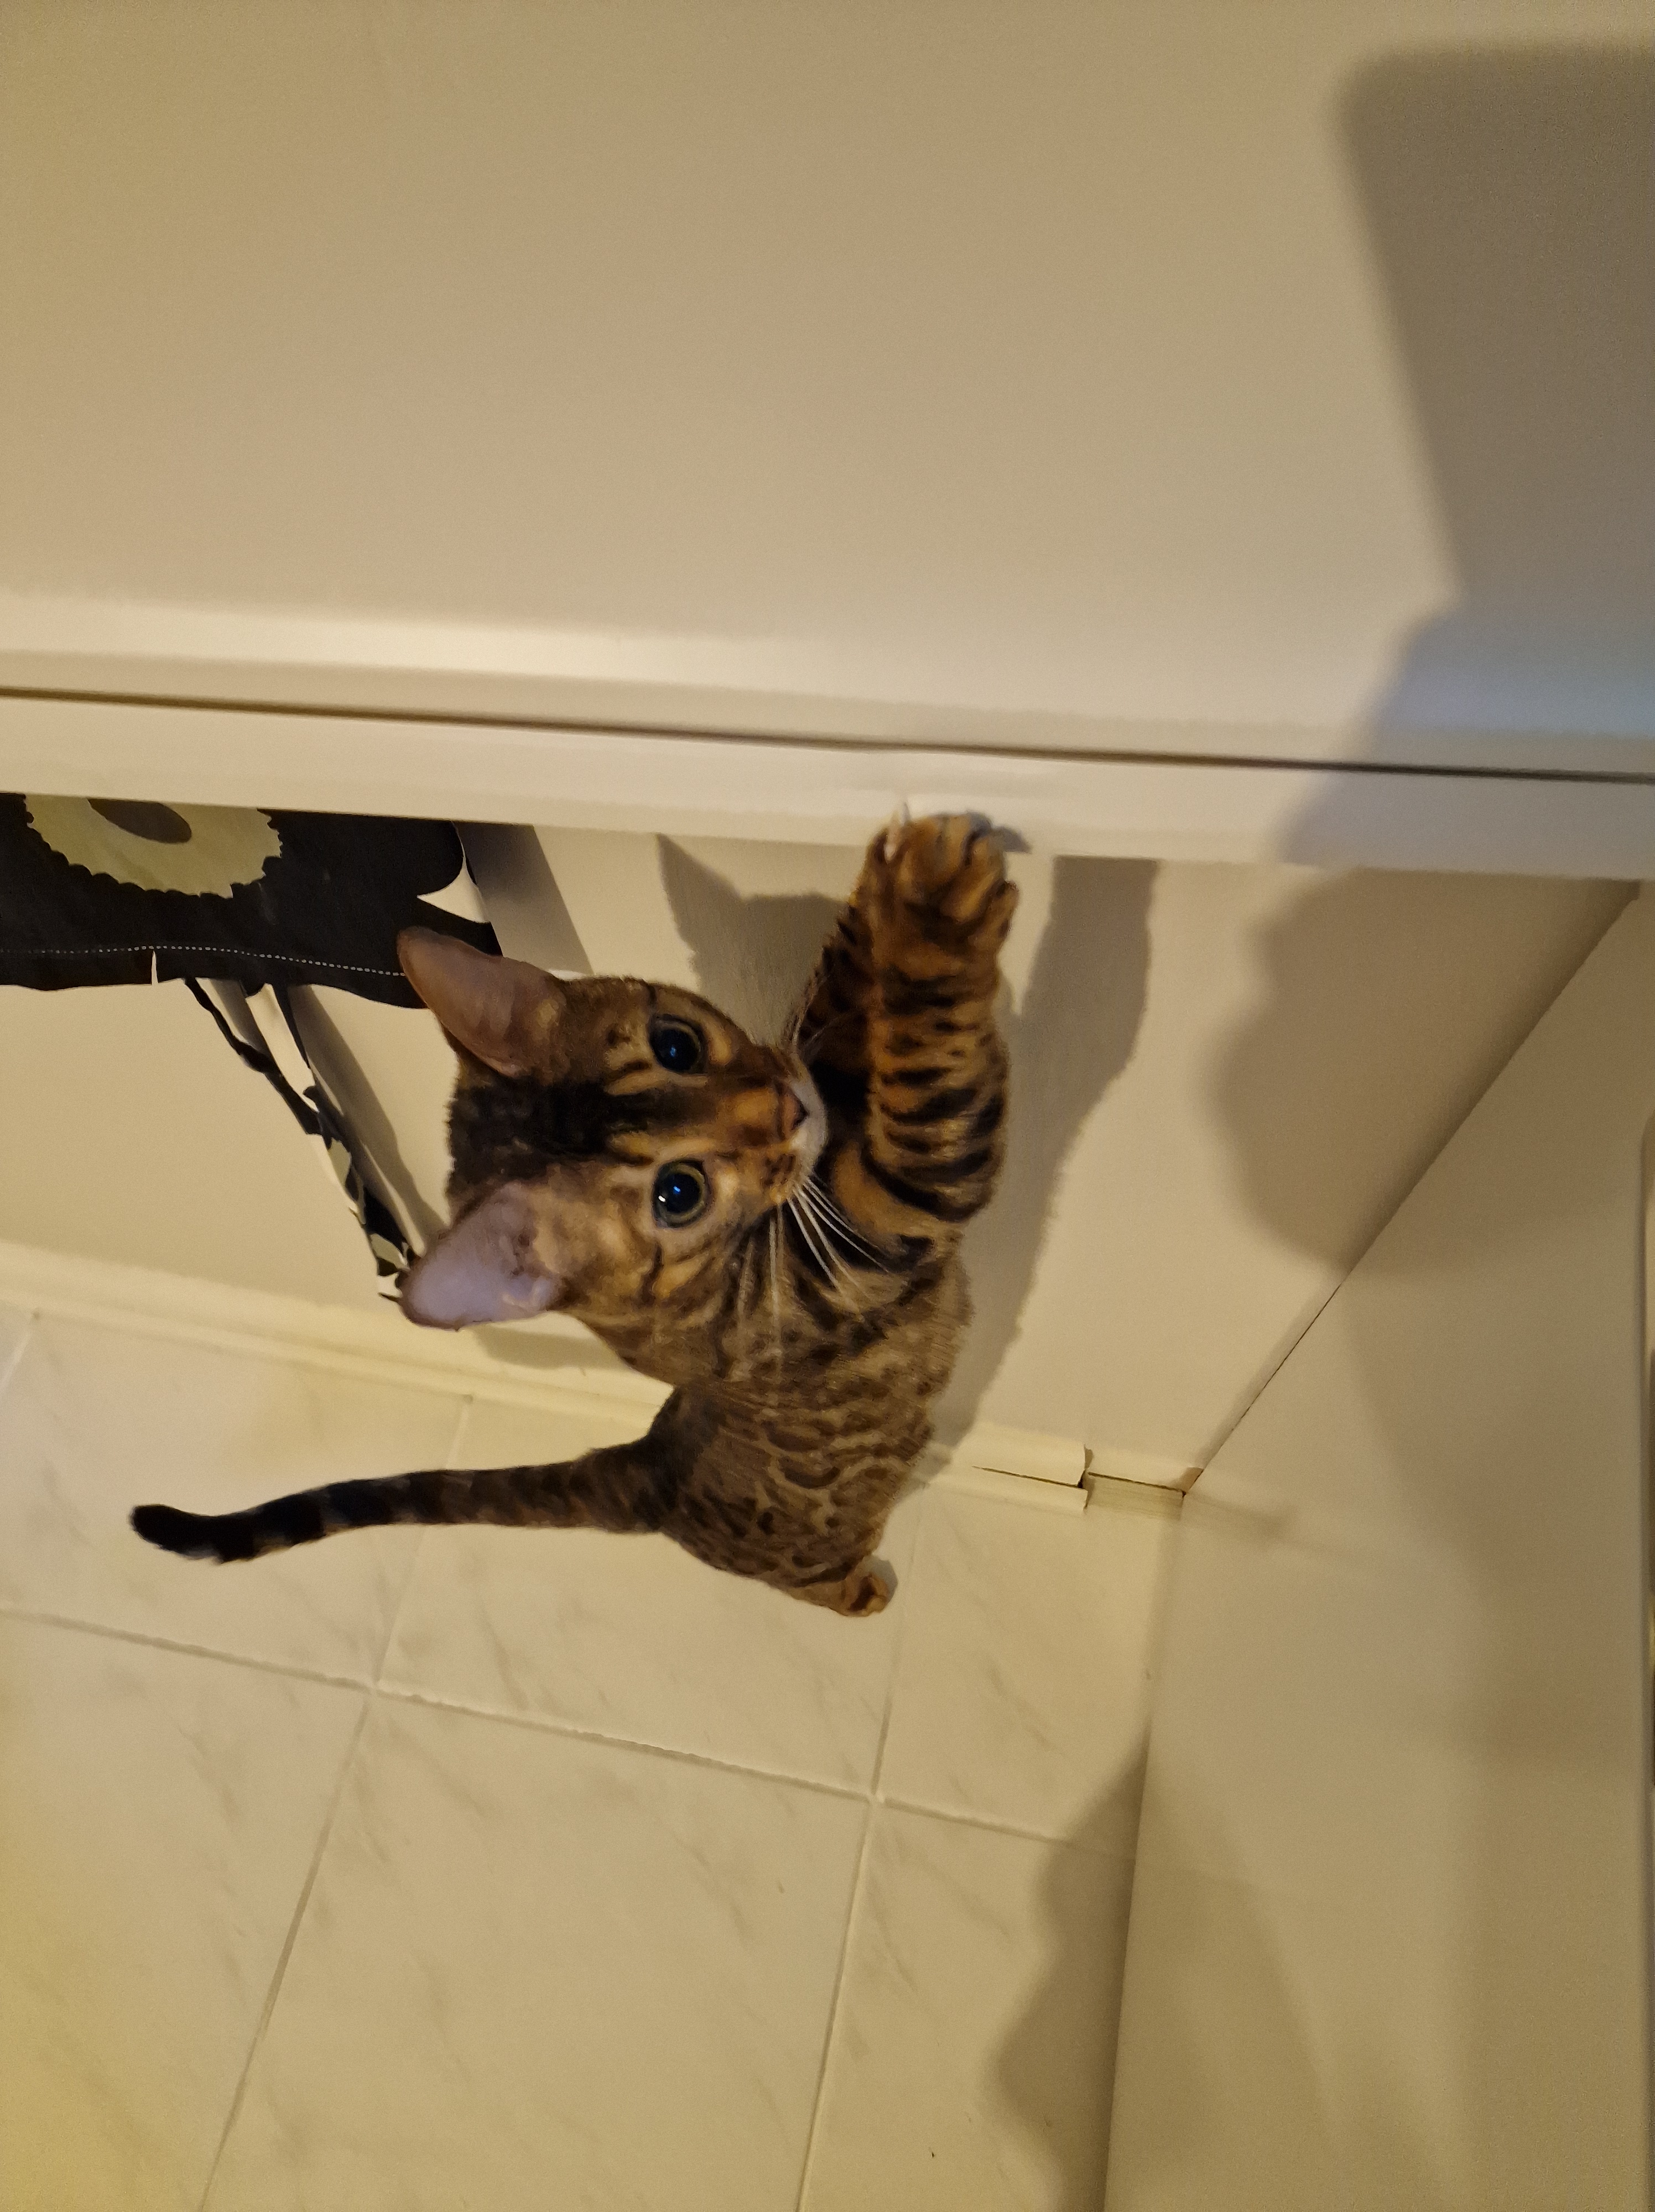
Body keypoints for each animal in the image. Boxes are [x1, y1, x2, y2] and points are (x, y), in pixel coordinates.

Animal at [132, 814, 1016, 1616]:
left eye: (678, 1044)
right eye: (678, 1194)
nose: (786, 1107)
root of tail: (648, 1471)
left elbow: (838, 988)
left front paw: (893, 887)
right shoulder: (873, 1231)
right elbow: (929, 1078)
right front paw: (940, 906)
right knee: (825, 1587)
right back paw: (864, 1590)